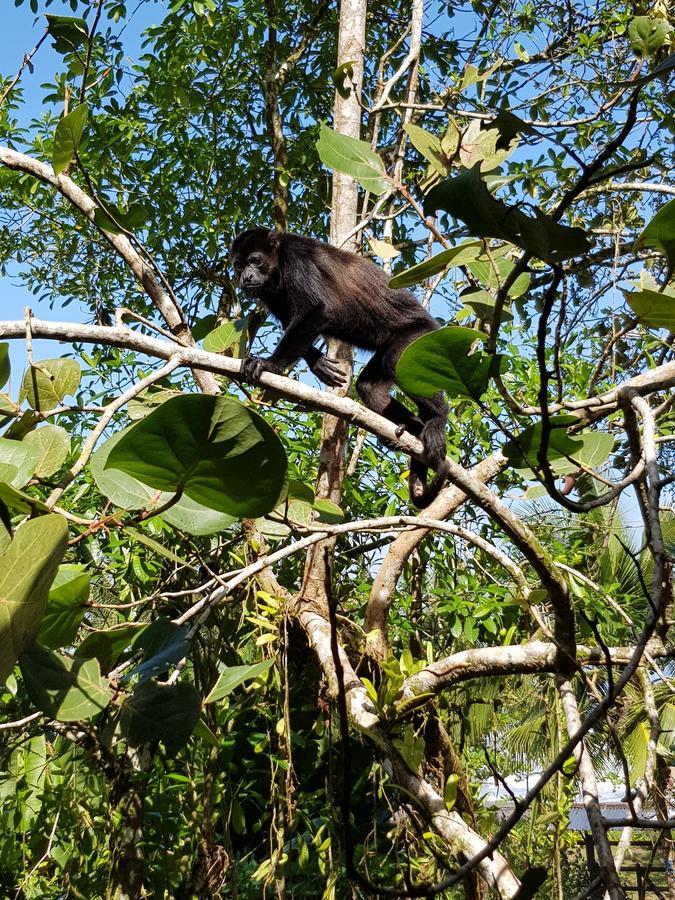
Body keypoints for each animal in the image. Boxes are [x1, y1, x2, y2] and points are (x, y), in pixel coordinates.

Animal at [231, 229, 448, 510]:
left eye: (255, 261)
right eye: (238, 265)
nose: (245, 277)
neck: (277, 263)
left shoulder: (298, 259)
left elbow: (316, 310)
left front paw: (270, 364)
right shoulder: (268, 293)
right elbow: (292, 322)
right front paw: (318, 363)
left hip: (416, 337)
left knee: (395, 363)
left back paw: (437, 418)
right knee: (369, 387)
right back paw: (412, 427)